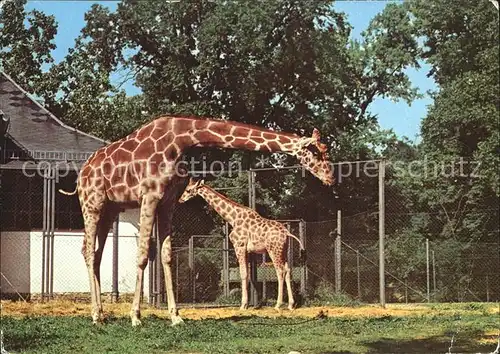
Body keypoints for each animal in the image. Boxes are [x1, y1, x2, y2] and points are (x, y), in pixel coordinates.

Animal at [180, 180, 304, 310]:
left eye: (188, 190)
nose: (180, 199)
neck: (233, 218)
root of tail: (287, 233)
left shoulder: (239, 245)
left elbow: (243, 274)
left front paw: (243, 305)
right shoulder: (248, 250)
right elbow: (248, 274)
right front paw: (246, 304)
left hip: (273, 250)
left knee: (280, 271)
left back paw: (278, 304)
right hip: (283, 250)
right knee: (288, 270)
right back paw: (291, 305)